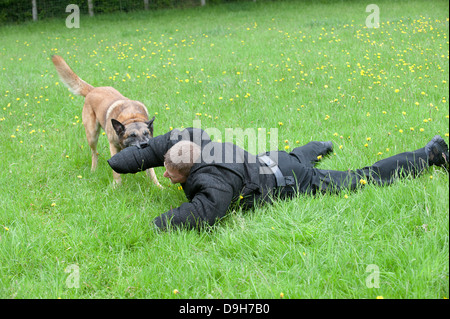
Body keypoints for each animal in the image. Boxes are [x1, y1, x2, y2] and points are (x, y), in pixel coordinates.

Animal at [51, 53, 161, 186]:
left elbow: (151, 171)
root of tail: (93, 90)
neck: (131, 117)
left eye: (146, 133)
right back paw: (94, 169)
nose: (144, 144)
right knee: (94, 154)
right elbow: (116, 172)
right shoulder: (113, 146)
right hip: (92, 135)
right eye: (132, 135)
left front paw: (158, 186)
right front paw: (117, 185)